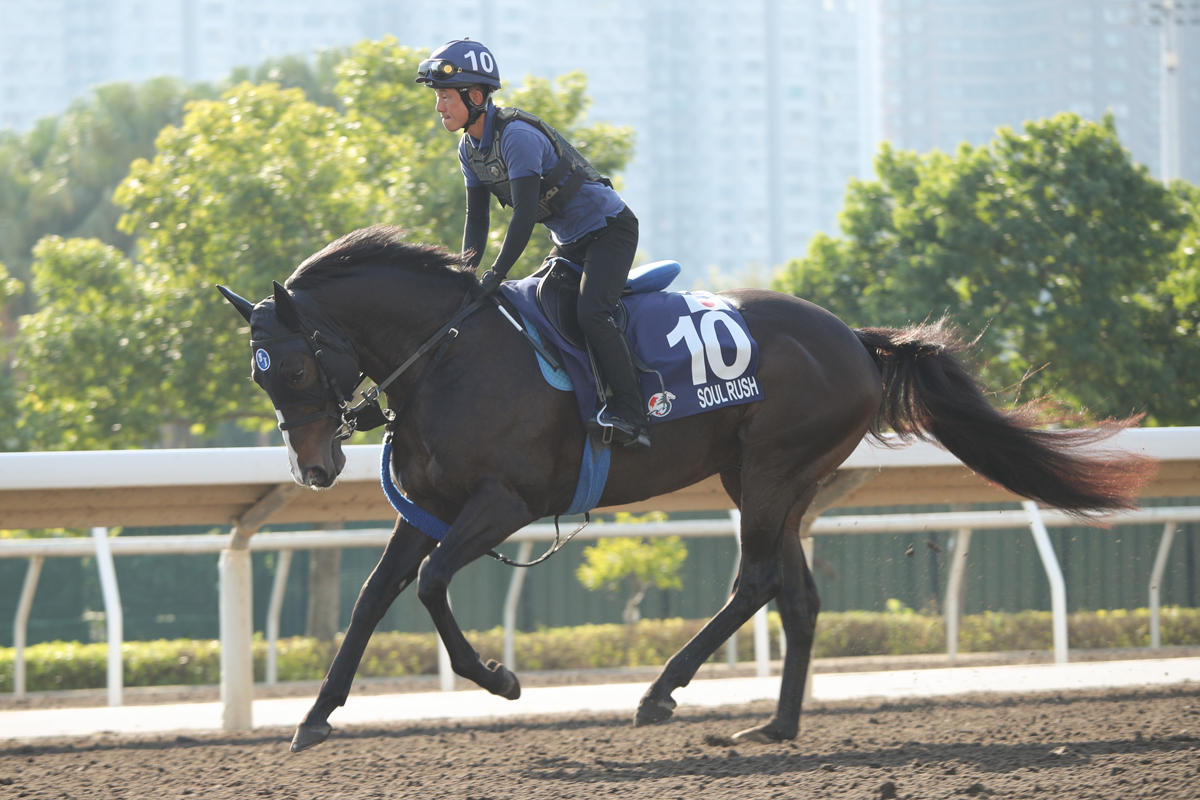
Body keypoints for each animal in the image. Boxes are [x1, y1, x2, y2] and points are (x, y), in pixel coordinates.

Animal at [218, 224, 1152, 753]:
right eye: (259, 375)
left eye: (292, 365)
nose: (313, 469)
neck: (449, 356)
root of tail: (853, 338)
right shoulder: (433, 507)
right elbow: (374, 595)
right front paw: (315, 716)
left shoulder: (505, 504)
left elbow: (435, 585)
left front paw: (499, 679)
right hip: (775, 481)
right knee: (797, 594)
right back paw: (774, 724)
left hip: (771, 472)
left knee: (756, 580)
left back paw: (661, 692)